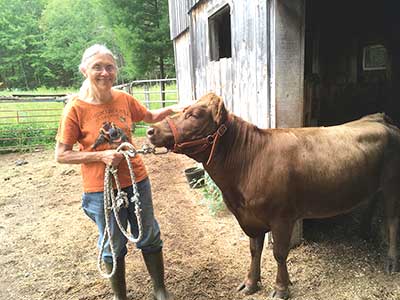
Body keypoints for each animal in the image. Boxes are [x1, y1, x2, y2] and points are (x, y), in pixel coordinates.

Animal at [146, 92, 400, 298]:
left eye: (195, 114)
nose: (150, 130)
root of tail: (379, 118)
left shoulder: (282, 218)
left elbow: (279, 253)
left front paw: (281, 288)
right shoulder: (250, 218)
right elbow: (254, 250)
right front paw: (251, 283)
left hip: (391, 184)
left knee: (392, 220)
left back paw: (391, 262)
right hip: (373, 183)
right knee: (371, 202)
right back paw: (363, 232)